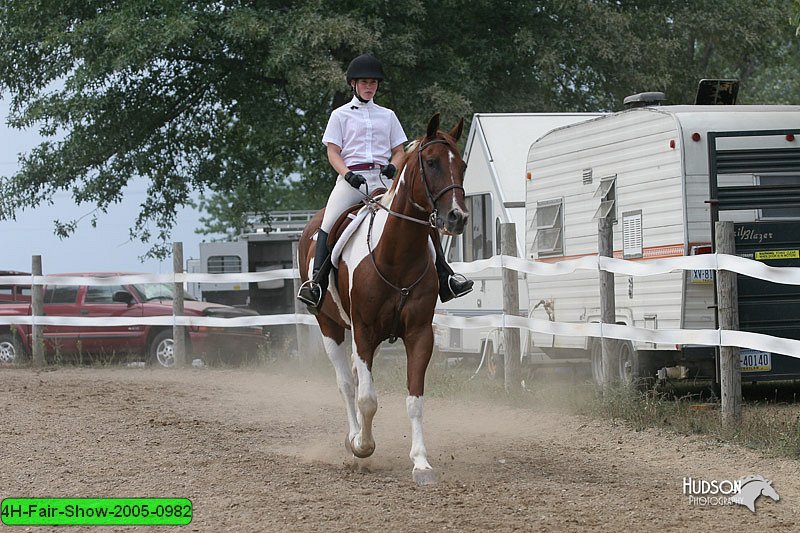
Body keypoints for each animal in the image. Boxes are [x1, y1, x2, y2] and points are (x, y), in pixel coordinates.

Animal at [296, 114, 466, 484]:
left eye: (461, 165)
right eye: (431, 163)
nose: (457, 217)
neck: (395, 257)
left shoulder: (420, 334)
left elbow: (414, 399)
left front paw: (421, 463)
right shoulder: (363, 332)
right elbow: (367, 398)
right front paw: (362, 446)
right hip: (329, 326)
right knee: (347, 385)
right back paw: (353, 438)